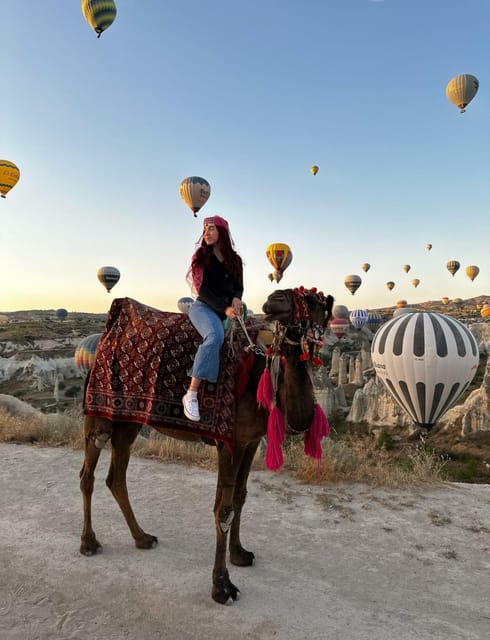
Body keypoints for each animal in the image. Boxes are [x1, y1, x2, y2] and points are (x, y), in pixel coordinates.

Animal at [79, 288, 334, 604]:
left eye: (313, 300)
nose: (274, 299)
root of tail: (103, 340)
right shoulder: (229, 443)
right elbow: (222, 509)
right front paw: (222, 586)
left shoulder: (250, 441)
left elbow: (240, 496)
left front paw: (239, 554)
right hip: (99, 414)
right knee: (88, 473)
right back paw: (89, 542)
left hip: (128, 422)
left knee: (116, 477)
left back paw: (142, 537)